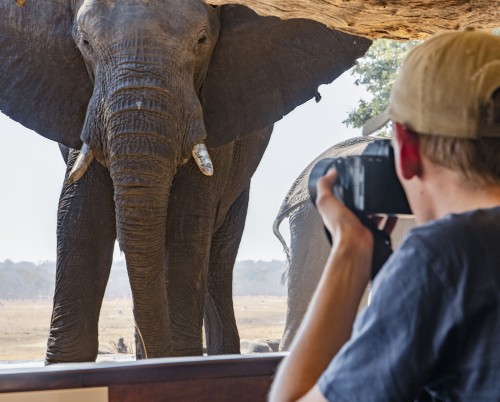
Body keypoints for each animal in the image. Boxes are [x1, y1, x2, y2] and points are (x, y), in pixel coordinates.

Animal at [0, 0, 372, 364]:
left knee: (215, 261)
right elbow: (79, 217)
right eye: (86, 44)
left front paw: (179, 356)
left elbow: (186, 223)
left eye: (202, 41)